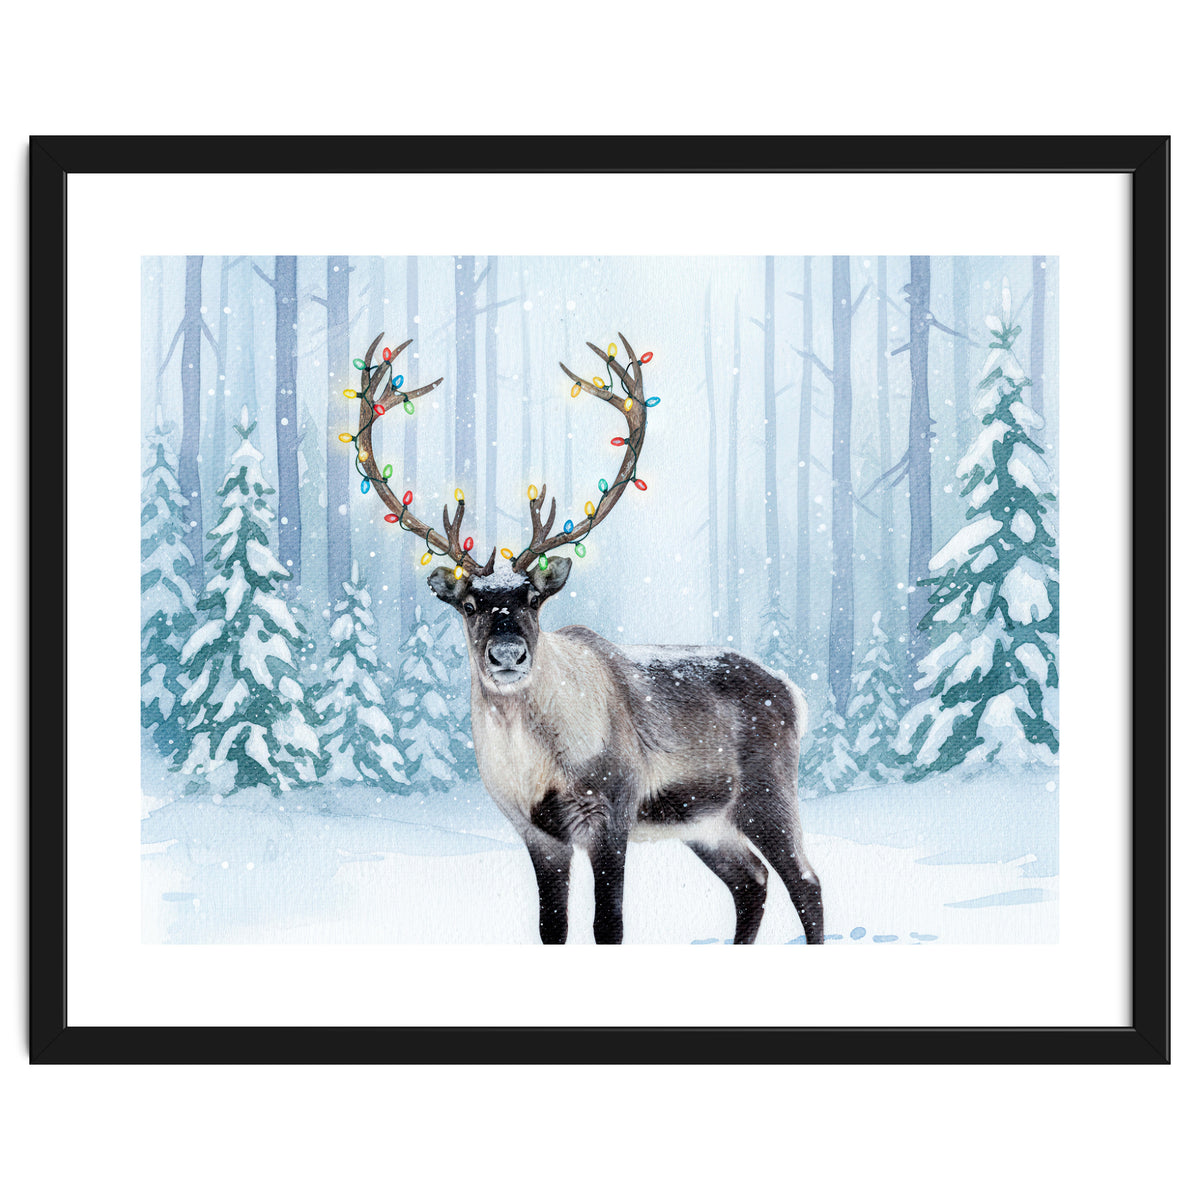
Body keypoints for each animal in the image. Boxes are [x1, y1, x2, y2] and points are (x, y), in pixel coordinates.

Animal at [348, 331, 823, 945]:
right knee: (752, 882)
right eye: (470, 604)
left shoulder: (610, 811)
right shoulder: (537, 832)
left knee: (805, 883)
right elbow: (552, 926)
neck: (536, 766)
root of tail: (793, 692)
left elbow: (608, 924)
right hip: (705, 821)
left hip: (766, 795)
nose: (507, 654)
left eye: (533, 598)